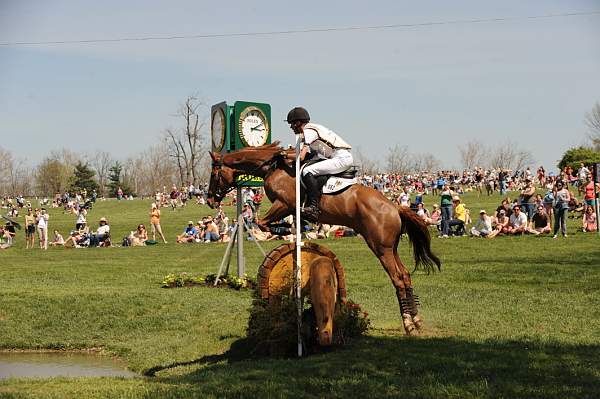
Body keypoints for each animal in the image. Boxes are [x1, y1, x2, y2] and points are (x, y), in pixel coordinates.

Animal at [209, 142, 442, 336]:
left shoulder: (283, 204)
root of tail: (394, 207)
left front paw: (282, 230)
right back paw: (416, 319)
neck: (273, 167)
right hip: (390, 247)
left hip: (380, 247)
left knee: (398, 278)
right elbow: (268, 223)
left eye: (214, 173)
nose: (211, 199)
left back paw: (408, 323)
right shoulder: (287, 207)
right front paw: (289, 231)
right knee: (405, 275)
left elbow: (262, 222)